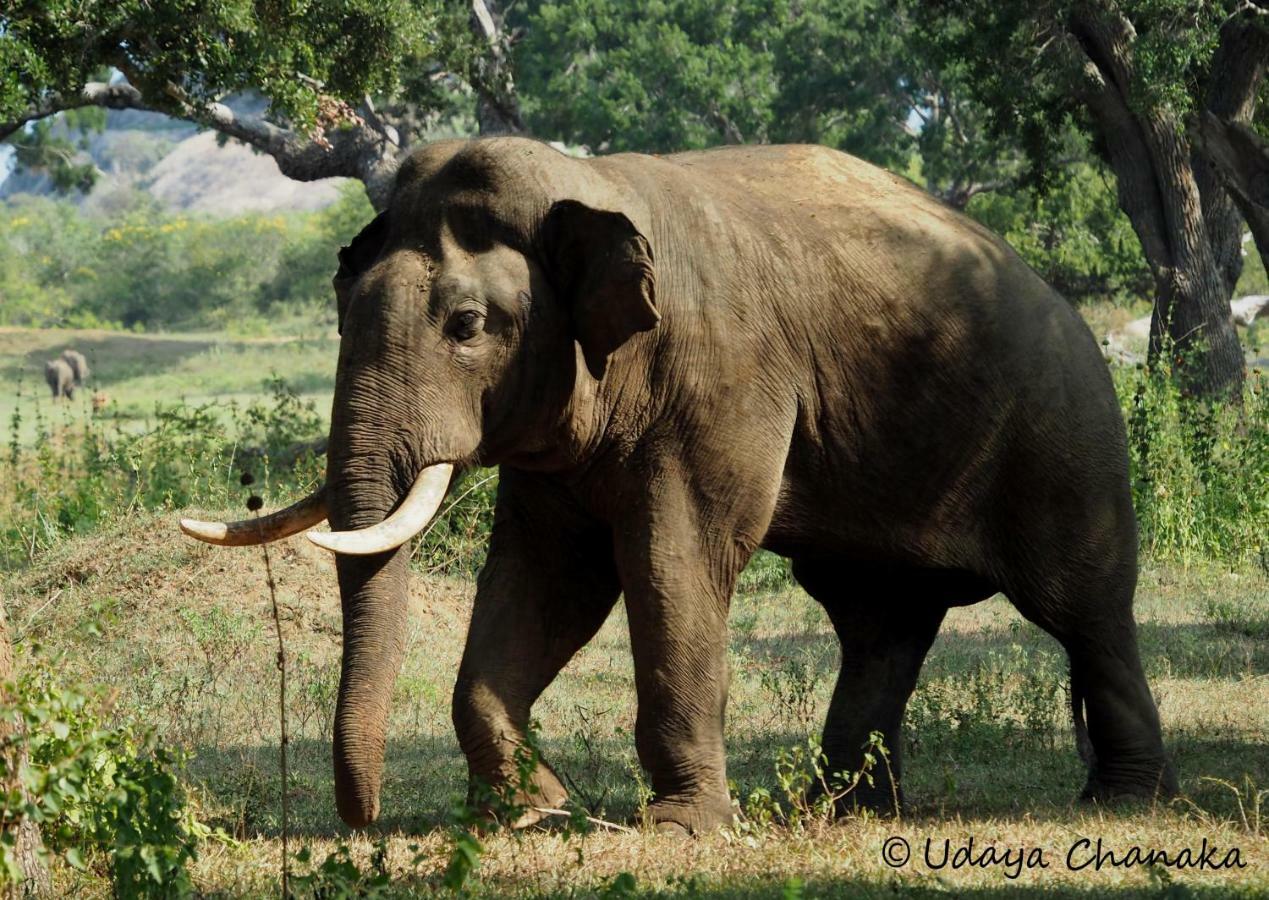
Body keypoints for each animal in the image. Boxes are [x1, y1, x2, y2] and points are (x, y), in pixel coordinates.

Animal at [173, 137, 1172, 832]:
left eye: (465, 325)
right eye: (341, 315)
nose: (364, 822)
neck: (584, 183)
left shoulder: (721, 382)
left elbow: (671, 559)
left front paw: (678, 829)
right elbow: (550, 580)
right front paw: (537, 814)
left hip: (1063, 432)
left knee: (1081, 606)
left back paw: (1120, 802)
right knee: (878, 621)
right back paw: (840, 811)